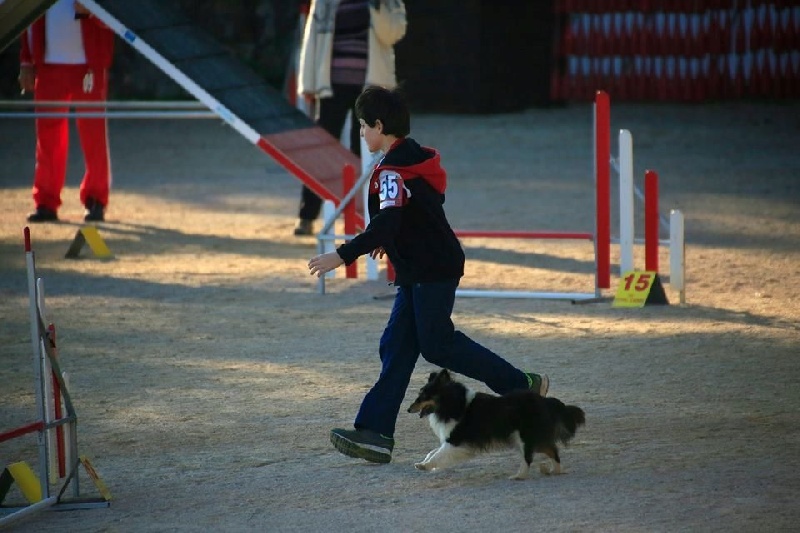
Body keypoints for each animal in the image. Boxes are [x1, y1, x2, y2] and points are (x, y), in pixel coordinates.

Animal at [410, 370, 584, 478]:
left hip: (524, 437)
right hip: (526, 438)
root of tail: (544, 401)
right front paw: (422, 463)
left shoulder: (456, 440)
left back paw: (518, 476)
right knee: (552, 450)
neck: (452, 402)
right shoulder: (452, 442)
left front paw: (425, 466)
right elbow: (433, 451)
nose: (408, 409)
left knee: (529, 458)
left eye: (423, 395)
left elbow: (438, 454)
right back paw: (555, 470)